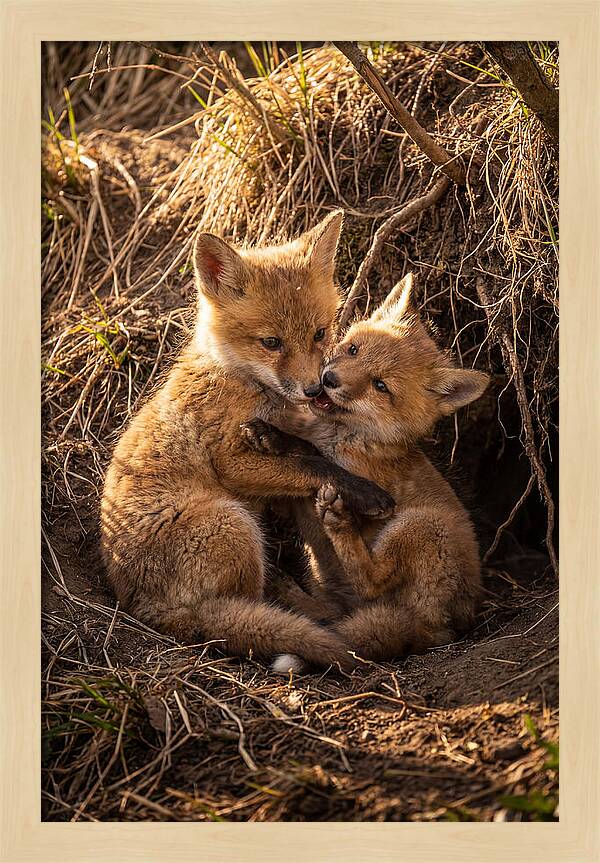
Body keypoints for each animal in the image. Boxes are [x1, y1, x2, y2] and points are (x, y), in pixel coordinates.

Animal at [100, 211, 395, 672]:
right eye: (271, 342)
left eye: (319, 333)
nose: (315, 389)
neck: (238, 379)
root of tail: (143, 609)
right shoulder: (231, 462)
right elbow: (312, 464)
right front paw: (364, 492)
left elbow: (305, 450)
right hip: (232, 523)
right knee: (246, 610)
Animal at [241, 272, 490, 672]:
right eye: (354, 349)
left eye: (380, 386)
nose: (329, 379)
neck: (343, 435)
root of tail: (443, 630)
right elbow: (303, 449)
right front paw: (271, 433)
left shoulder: (357, 477)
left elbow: (314, 456)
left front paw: (279, 439)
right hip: (332, 583)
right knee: (334, 613)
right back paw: (290, 592)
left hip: (421, 525)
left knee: (371, 581)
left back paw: (339, 525)